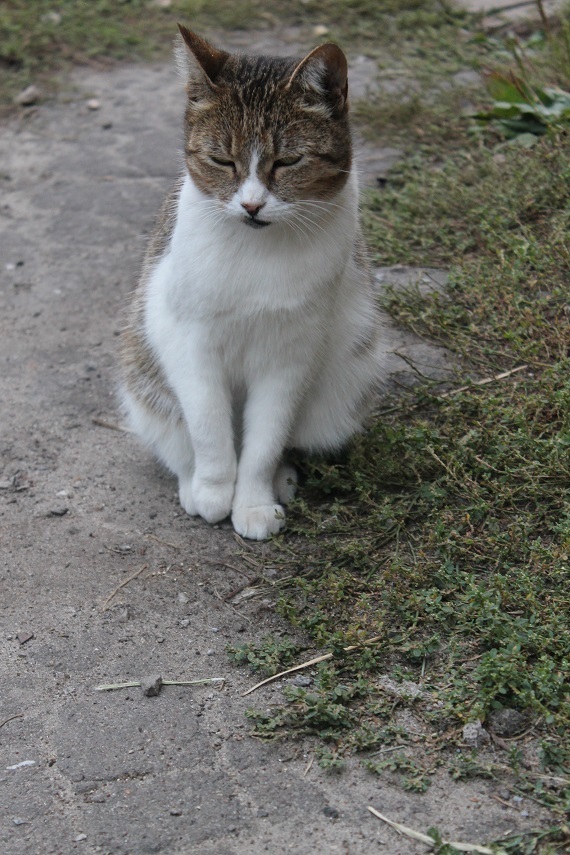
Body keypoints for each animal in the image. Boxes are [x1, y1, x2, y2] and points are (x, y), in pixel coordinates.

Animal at [119, 26, 386, 540]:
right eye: (222, 161)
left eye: (288, 161)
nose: (251, 205)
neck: (256, 249)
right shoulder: (186, 339)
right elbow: (207, 426)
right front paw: (212, 490)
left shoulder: (292, 354)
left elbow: (265, 442)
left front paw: (254, 501)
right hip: (144, 382)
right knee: (178, 435)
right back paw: (191, 482)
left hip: (343, 388)